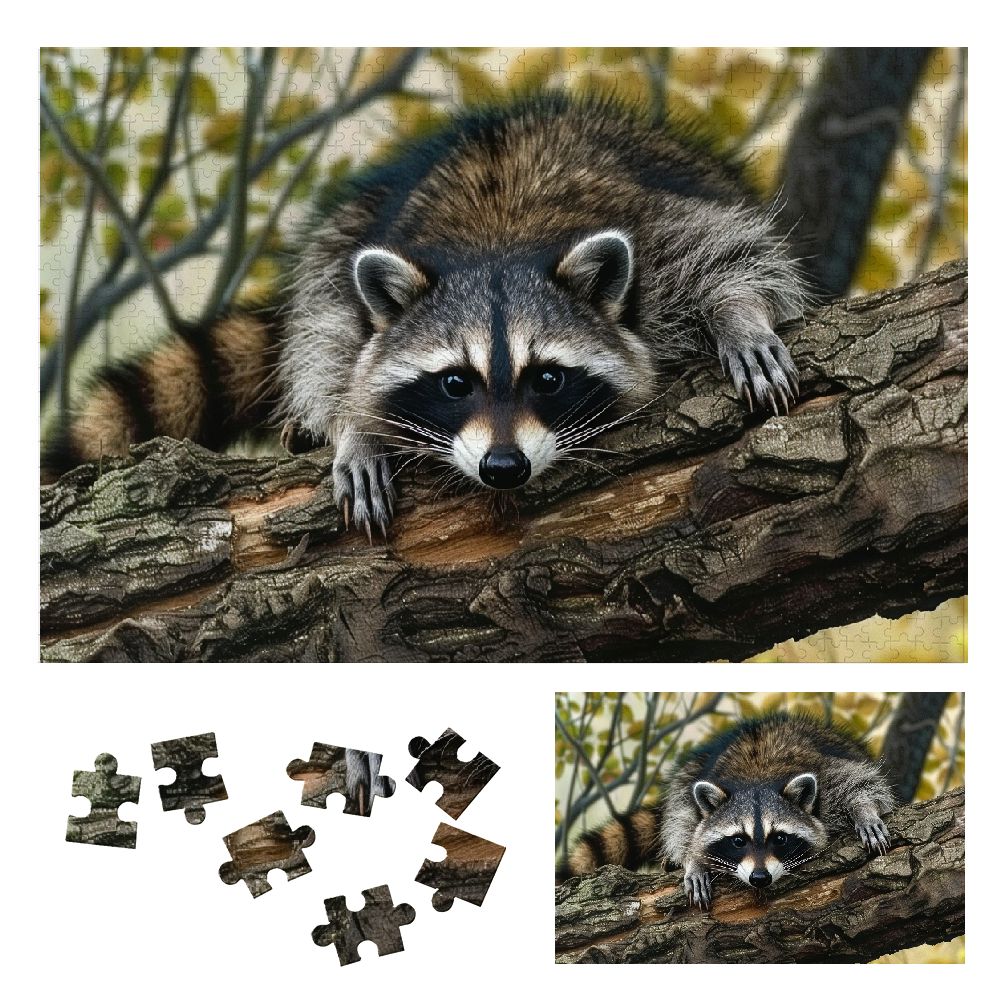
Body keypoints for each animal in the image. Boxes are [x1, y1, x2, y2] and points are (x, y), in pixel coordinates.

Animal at [47, 93, 806, 537]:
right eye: (454, 382)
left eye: (548, 378)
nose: (504, 467)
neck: (499, 245)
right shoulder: (357, 283)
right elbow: (330, 336)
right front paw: (355, 426)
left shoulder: (654, 230)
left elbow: (727, 250)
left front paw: (739, 317)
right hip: (355, 215)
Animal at [559, 713, 895, 910]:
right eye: (737, 841)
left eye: (780, 838)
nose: (760, 878)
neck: (758, 779)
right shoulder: (699, 793)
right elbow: (684, 819)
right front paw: (694, 858)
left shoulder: (826, 772)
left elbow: (857, 780)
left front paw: (863, 811)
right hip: (694, 767)